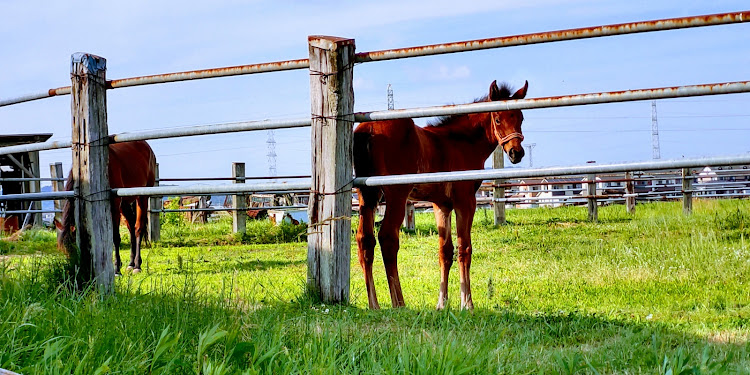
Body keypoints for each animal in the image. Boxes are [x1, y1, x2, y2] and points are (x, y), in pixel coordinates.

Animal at [56, 141, 157, 276]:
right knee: (131, 226)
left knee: (138, 228)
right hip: (124, 203)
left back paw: (137, 265)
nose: (74, 269)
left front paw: (116, 269)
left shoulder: (114, 205)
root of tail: (147, 148)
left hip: (142, 197)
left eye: (73, 246)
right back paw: (130, 264)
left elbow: (115, 237)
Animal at [356, 80, 528, 312]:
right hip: (396, 194)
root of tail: (370, 128)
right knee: (387, 238)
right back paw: (399, 303)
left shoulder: (441, 205)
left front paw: (442, 303)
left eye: (520, 117)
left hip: (367, 195)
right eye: (498, 118)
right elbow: (464, 249)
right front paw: (467, 303)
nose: (516, 153)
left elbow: (445, 252)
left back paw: (373, 304)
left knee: (365, 239)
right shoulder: (466, 201)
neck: (460, 143)